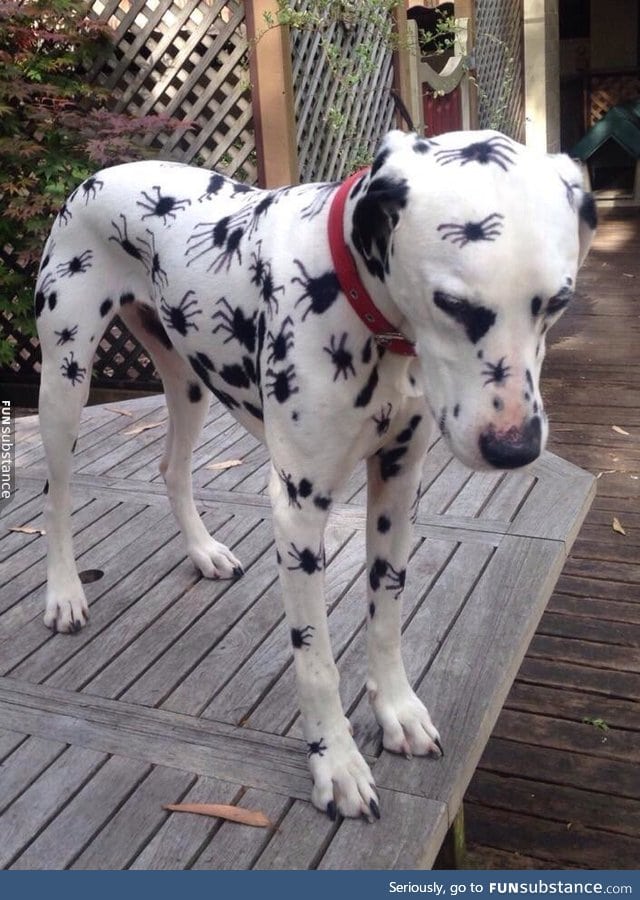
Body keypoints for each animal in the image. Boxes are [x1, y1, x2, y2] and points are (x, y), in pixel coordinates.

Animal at [33, 128, 596, 824]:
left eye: (557, 303)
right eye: (452, 303)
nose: (515, 448)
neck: (364, 314)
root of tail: (99, 175)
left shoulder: (396, 486)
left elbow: (386, 614)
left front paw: (396, 709)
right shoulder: (298, 512)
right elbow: (316, 660)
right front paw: (337, 762)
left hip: (187, 382)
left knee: (171, 469)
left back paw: (202, 551)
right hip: (64, 382)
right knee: (56, 495)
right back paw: (63, 592)